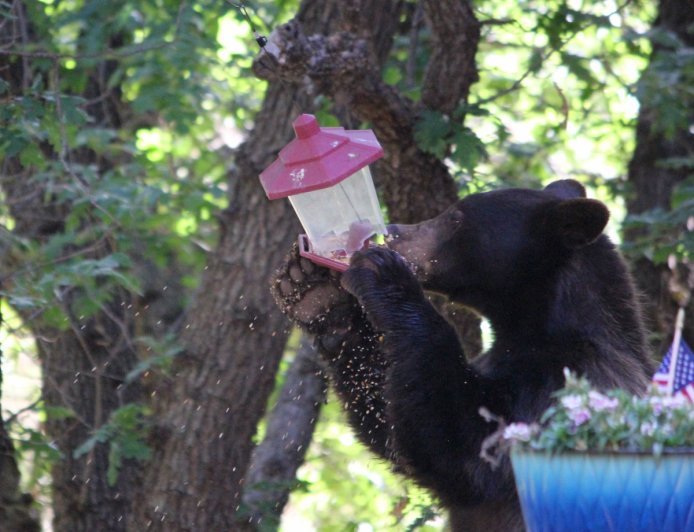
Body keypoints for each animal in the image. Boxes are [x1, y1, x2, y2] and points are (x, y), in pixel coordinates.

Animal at [272, 179, 654, 531]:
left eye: (455, 217)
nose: (392, 233)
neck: (533, 329)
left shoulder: (570, 381)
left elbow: (468, 451)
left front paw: (383, 272)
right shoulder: (494, 363)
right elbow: (389, 414)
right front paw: (313, 291)